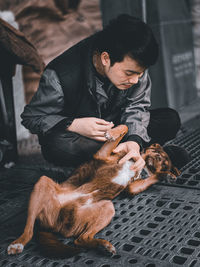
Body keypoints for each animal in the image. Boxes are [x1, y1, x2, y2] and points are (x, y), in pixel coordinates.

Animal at [7, 125, 180, 260]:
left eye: (165, 164)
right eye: (158, 155)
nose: (156, 161)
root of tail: (53, 225)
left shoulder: (131, 187)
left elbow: (148, 180)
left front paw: (166, 176)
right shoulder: (103, 154)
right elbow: (124, 127)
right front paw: (112, 132)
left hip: (107, 207)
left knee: (80, 239)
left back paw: (103, 245)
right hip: (42, 183)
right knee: (29, 228)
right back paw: (18, 243)